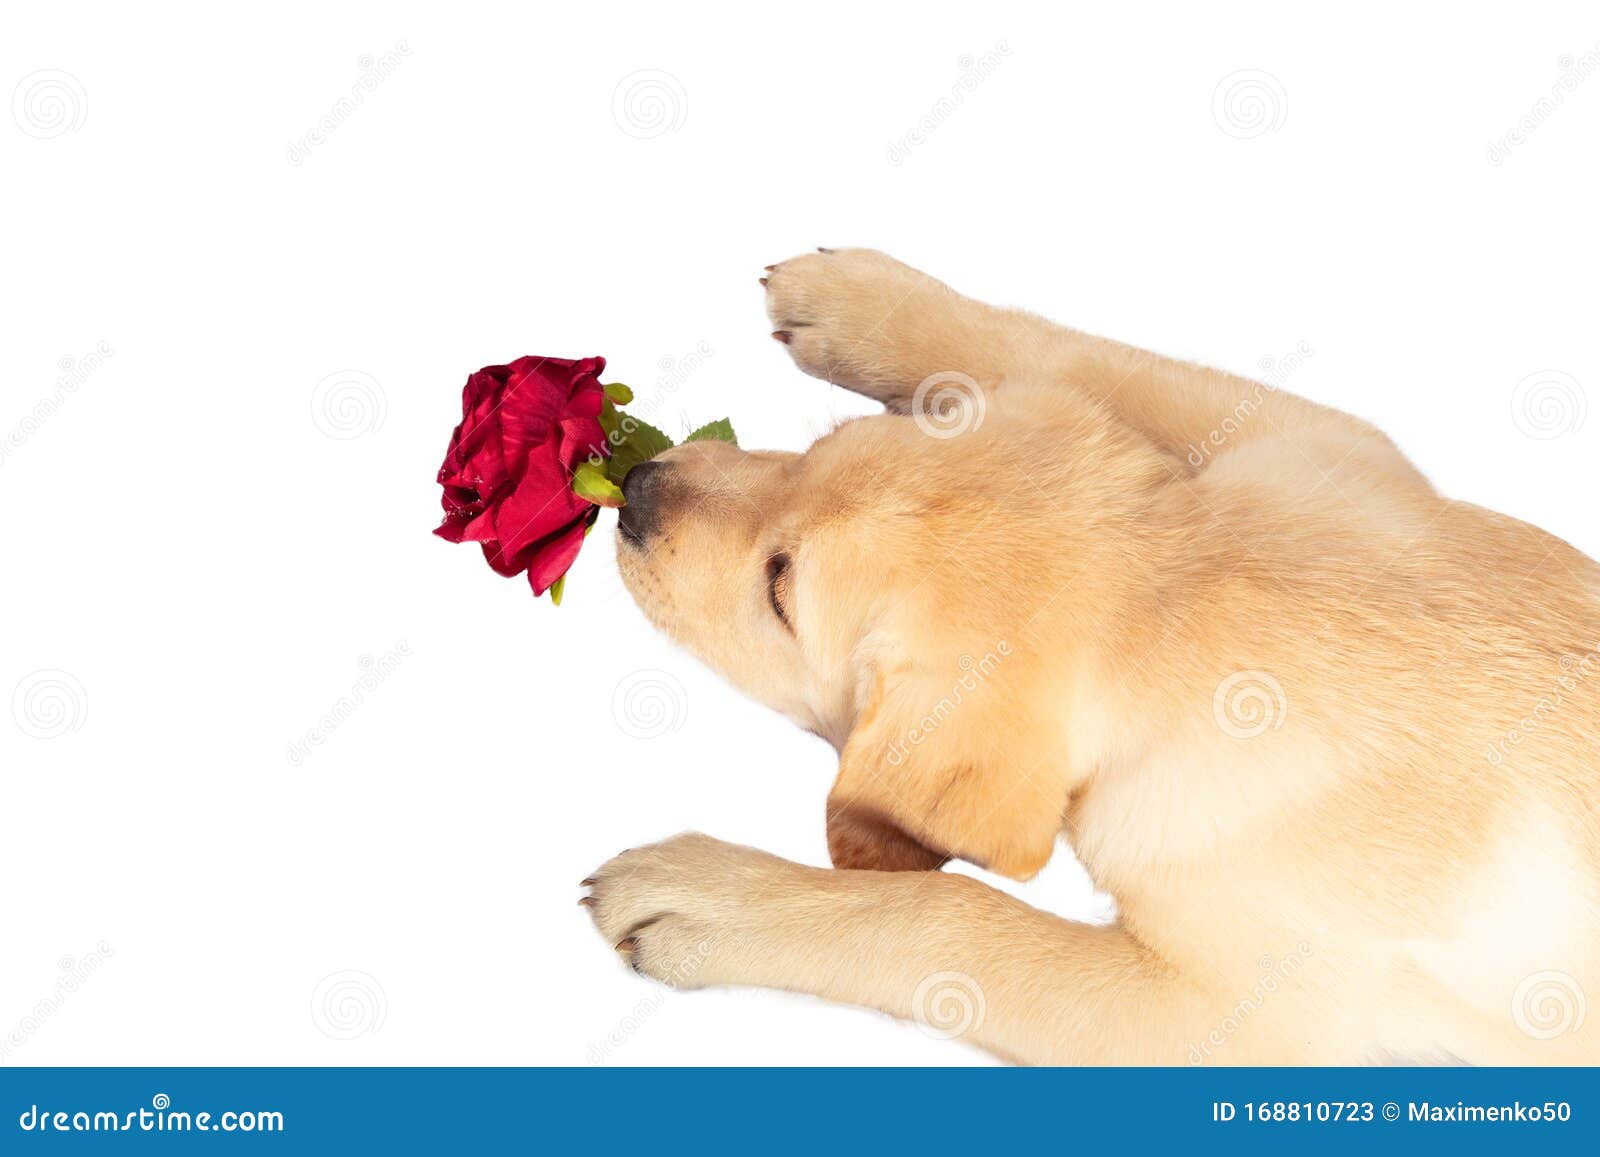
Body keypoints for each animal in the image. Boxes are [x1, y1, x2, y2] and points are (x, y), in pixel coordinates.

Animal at [582, 249, 1593, 1062]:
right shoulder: (1325, 447)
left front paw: (709, 895)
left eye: (779, 590)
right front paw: (860, 297)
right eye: (808, 452)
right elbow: (1070, 353)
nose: (636, 484)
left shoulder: (1236, 1019)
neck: (1176, 595)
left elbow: (950, 912)